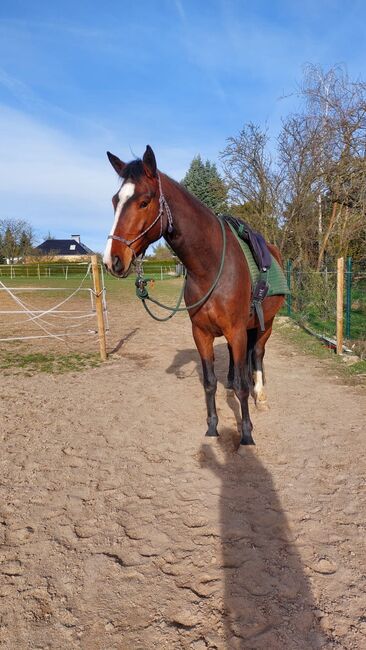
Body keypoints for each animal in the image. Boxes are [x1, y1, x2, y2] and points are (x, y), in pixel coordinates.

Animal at [103, 144, 286, 442]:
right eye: (114, 201)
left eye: (144, 201)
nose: (112, 260)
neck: (211, 268)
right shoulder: (201, 333)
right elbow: (210, 382)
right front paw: (212, 427)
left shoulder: (237, 330)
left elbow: (244, 385)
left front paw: (246, 433)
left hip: (265, 324)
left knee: (257, 354)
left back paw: (261, 396)